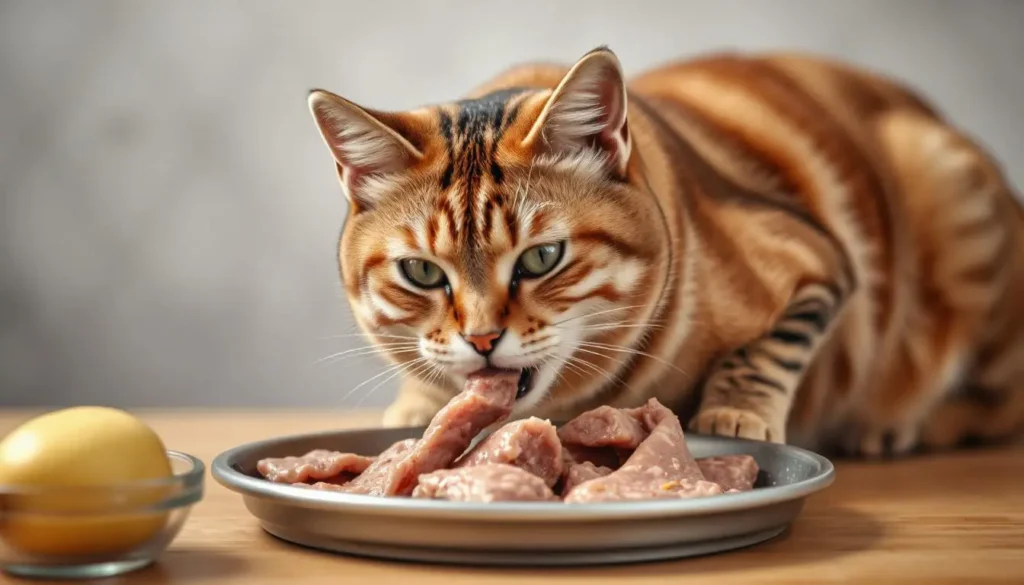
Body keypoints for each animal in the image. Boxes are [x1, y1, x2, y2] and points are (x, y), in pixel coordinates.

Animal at [303, 46, 1024, 456]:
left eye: (541, 259)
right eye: (421, 272)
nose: (482, 340)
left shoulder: (821, 261)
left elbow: (765, 351)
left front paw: (734, 413)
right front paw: (417, 404)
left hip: (952, 197)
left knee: (1001, 401)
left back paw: (904, 425)